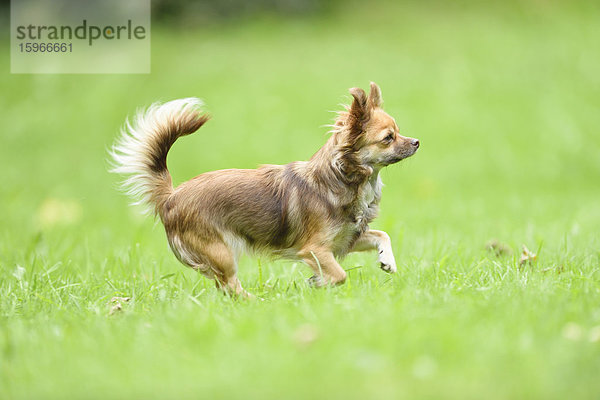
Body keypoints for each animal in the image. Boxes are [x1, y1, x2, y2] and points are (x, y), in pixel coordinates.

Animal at [113, 83, 422, 296]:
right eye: (388, 138)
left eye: (399, 132)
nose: (417, 141)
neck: (347, 179)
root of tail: (171, 196)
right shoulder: (314, 249)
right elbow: (339, 275)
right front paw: (317, 282)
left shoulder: (344, 240)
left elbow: (382, 234)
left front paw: (387, 260)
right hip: (221, 252)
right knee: (230, 288)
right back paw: (256, 301)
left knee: (224, 288)